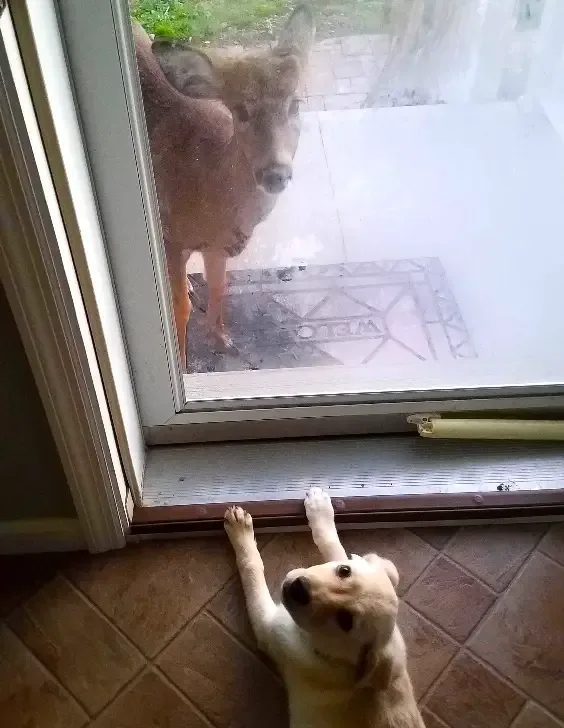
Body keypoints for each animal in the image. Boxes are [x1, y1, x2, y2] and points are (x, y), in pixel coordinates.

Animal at [224, 486, 424, 728]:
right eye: (344, 571)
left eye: (345, 620)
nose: (298, 589)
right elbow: (332, 544)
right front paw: (319, 508)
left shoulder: (268, 627)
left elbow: (252, 567)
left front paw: (240, 533)